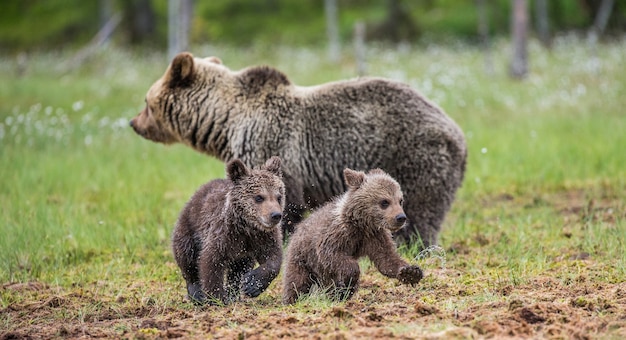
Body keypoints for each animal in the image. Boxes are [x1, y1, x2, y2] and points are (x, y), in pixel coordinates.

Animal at [132, 51, 464, 246]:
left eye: (147, 101)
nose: (135, 123)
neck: (227, 123)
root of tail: (457, 131)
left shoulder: (271, 145)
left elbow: (284, 202)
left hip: (415, 157)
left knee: (418, 214)